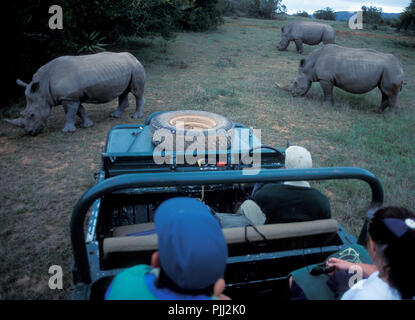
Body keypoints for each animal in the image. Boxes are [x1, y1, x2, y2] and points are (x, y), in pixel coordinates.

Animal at [3, 51, 145, 135]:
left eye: (32, 115)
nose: (30, 132)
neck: (42, 89)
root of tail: (133, 56)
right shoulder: (72, 97)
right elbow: (80, 111)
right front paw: (87, 125)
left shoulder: (69, 98)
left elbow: (70, 113)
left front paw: (66, 131)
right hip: (126, 68)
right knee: (123, 92)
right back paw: (115, 116)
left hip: (136, 67)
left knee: (136, 92)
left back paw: (136, 117)